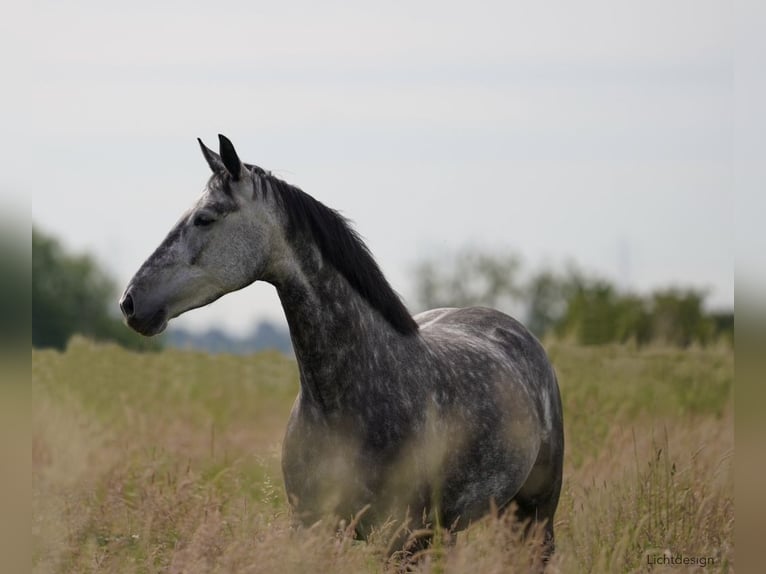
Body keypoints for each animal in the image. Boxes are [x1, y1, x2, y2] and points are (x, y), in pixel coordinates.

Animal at [120, 135, 564, 560]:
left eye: (205, 218)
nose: (130, 302)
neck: (348, 399)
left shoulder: (399, 537)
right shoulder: (313, 528)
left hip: (534, 513)